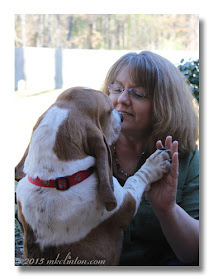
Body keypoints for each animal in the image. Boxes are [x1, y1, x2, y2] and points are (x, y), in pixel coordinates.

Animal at [15, 86, 171, 266]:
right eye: (109, 110)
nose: (122, 117)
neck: (54, 179)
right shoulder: (128, 202)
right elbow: (136, 178)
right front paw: (156, 162)